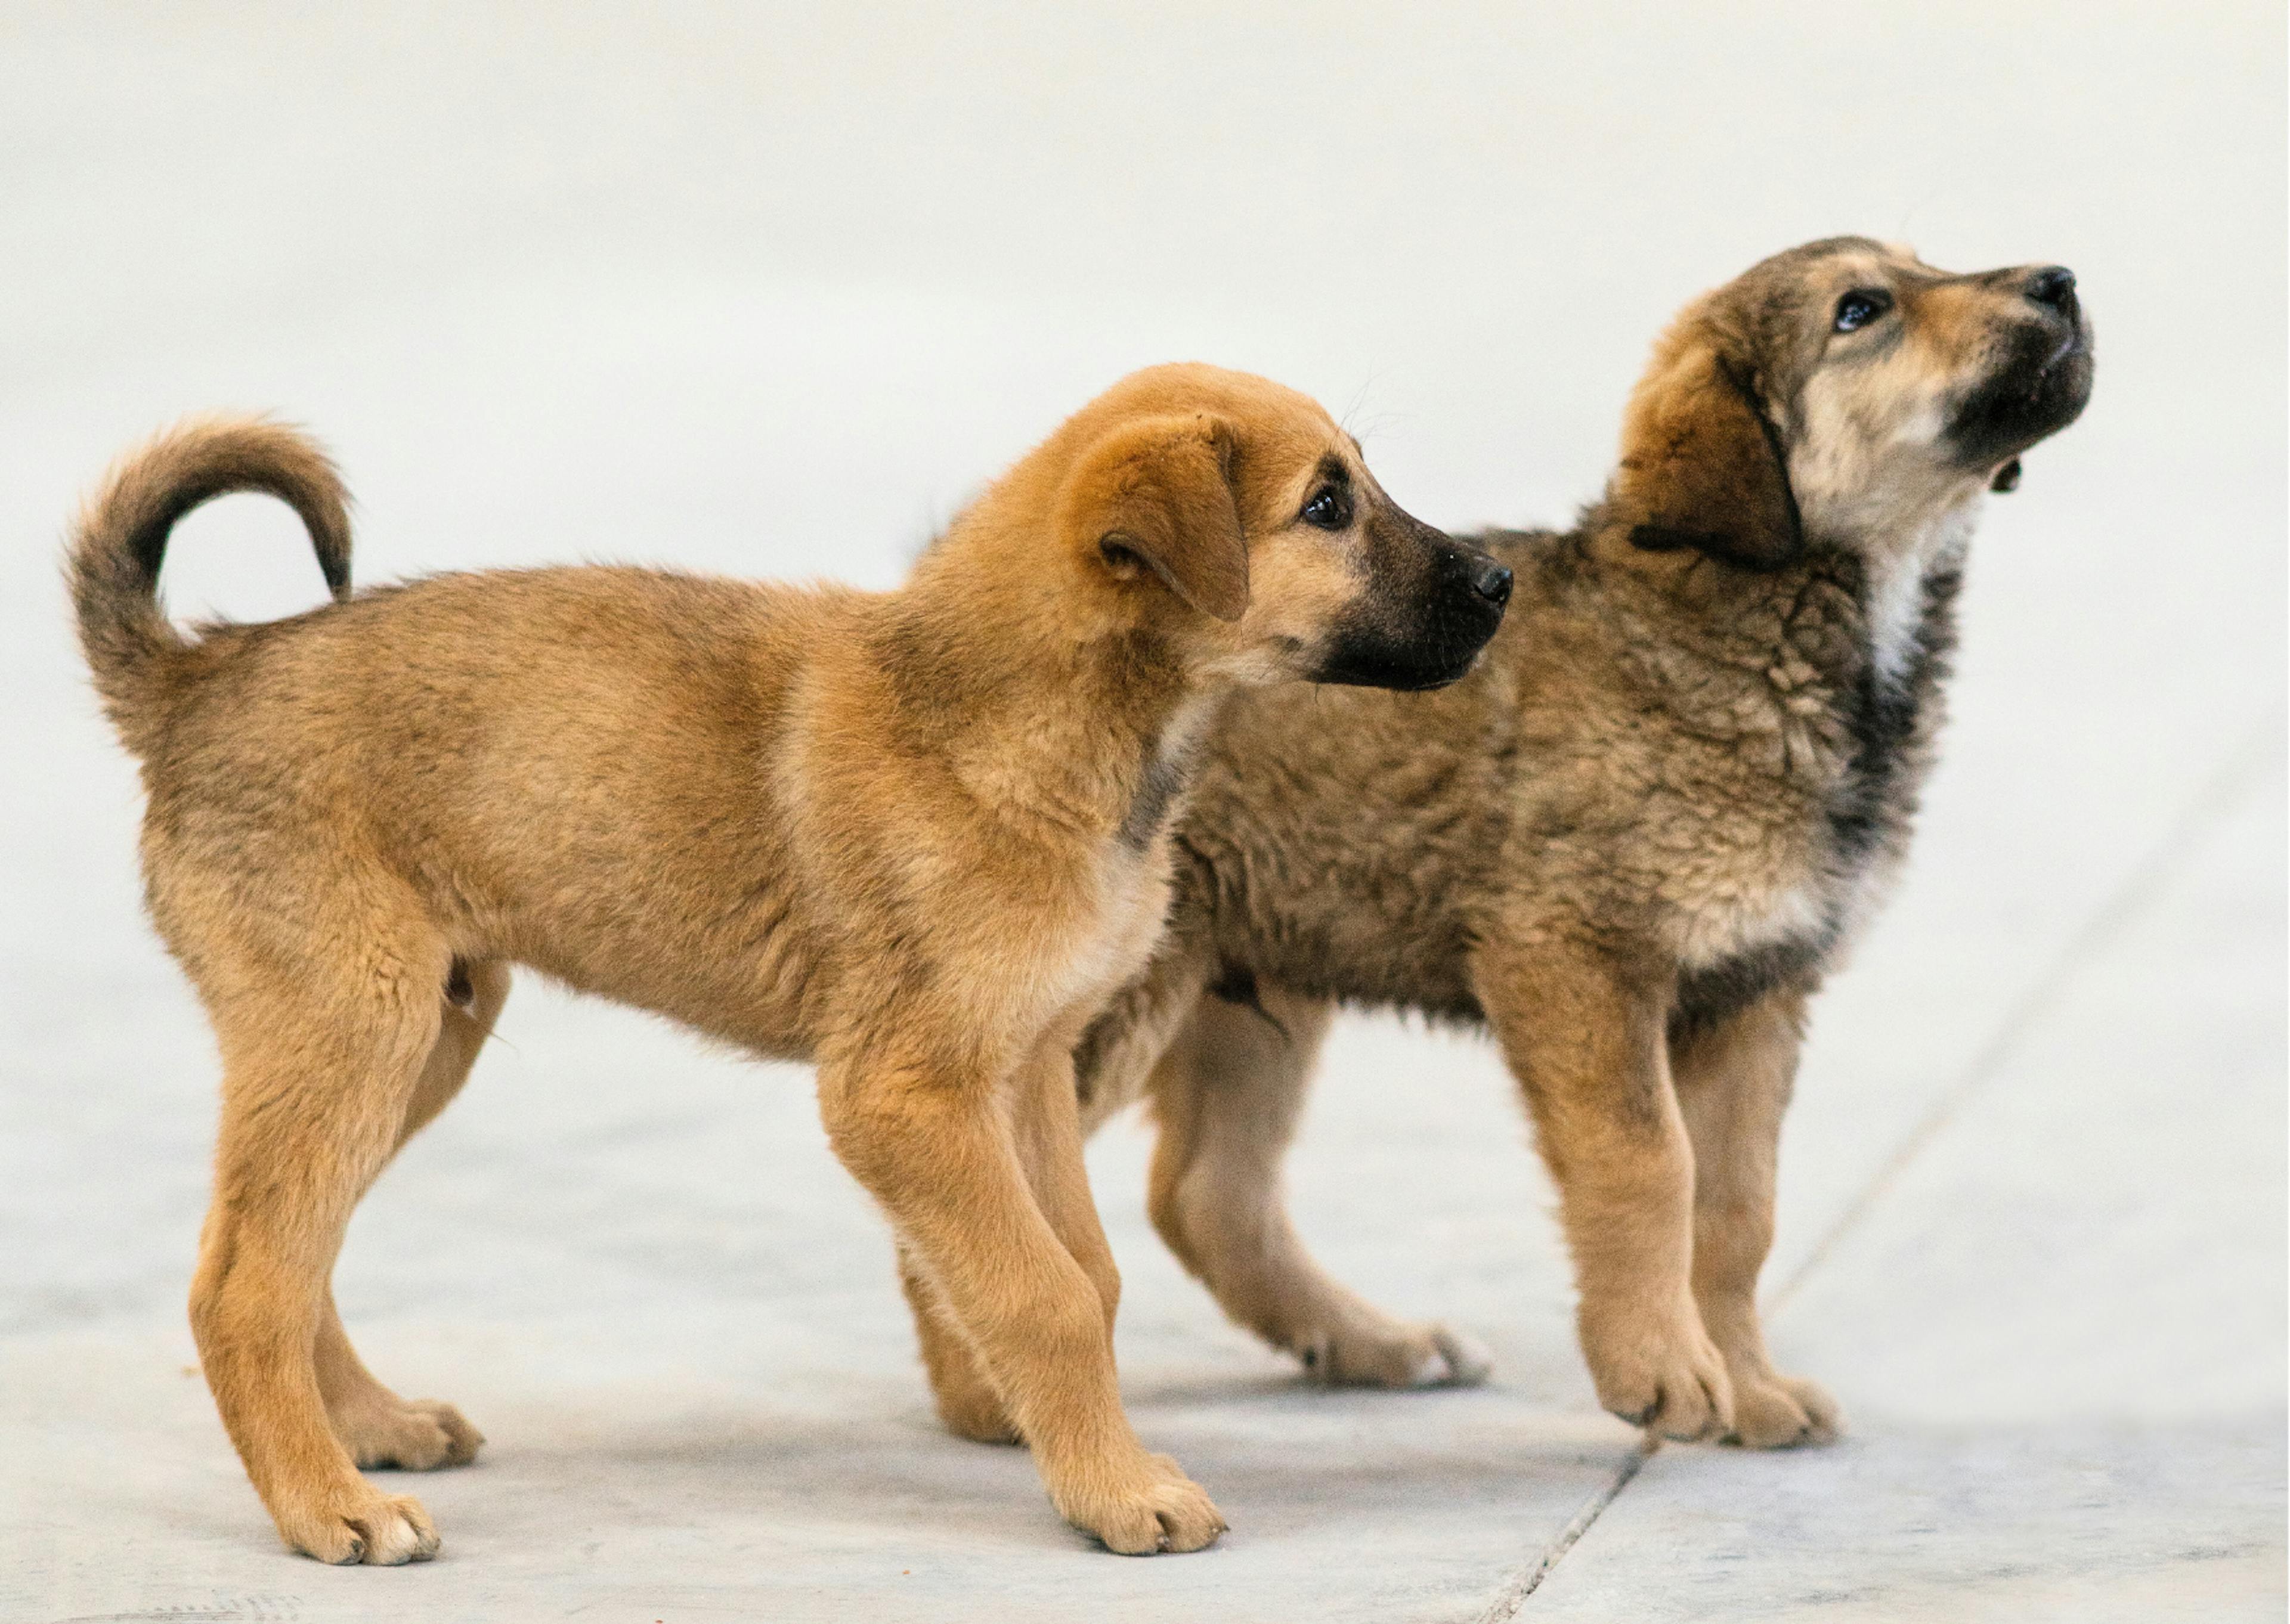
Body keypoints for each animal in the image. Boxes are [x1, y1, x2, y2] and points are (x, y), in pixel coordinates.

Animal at [63, 364, 1511, 1557]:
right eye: (1327, 505)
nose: (1502, 584)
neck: (1010, 719)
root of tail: (200, 678)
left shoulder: (1030, 1065)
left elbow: (1087, 1274)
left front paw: (1068, 1445)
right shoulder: (903, 1095)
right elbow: (1041, 1289)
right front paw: (1119, 1494)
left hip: (418, 1037)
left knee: (275, 1254)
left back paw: (369, 1429)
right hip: (354, 1030)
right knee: (244, 1285)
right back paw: (328, 1508)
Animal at [1053, 249, 2097, 1448]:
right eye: (1862, 309)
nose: (2062, 280)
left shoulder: (1758, 986)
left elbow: (1736, 1207)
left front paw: (1750, 1383)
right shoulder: (1577, 956)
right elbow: (1649, 1166)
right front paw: (1662, 1370)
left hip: (1259, 975)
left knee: (1206, 1193)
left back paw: (1373, 1343)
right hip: (1119, 997)